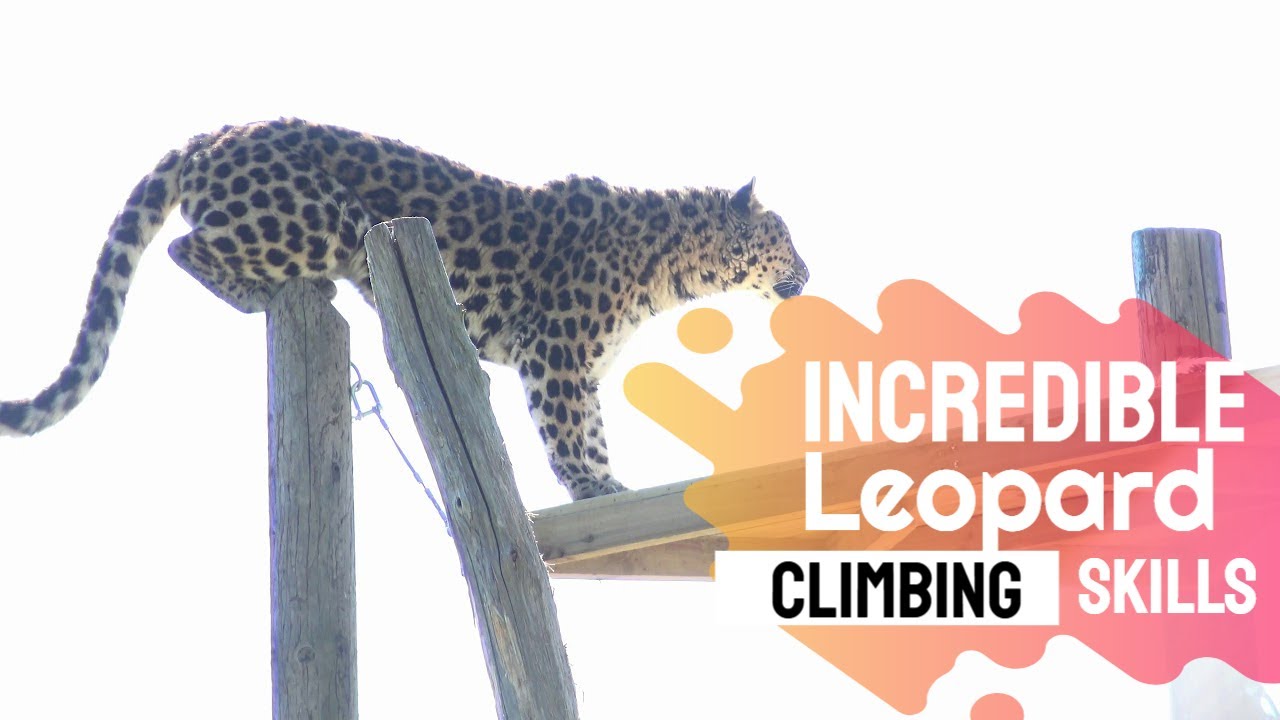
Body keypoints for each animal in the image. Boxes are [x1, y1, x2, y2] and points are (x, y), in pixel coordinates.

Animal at [0, 118, 809, 501]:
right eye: (786, 237)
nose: (809, 270)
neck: (673, 265)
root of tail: (217, 132)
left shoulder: (573, 362)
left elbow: (590, 429)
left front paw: (605, 481)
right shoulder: (556, 350)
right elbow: (570, 432)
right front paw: (593, 487)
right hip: (324, 219)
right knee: (184, 248)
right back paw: (272, 292)